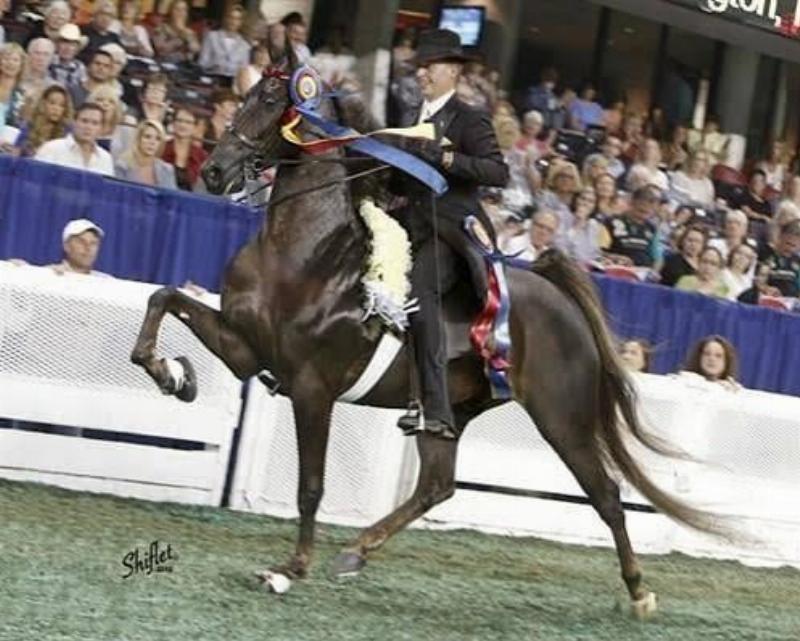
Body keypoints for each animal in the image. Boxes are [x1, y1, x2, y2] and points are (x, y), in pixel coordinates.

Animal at [130, 55, 717, 618]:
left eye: (273, 102)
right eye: (248, 93)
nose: (214, 171)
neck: (300, 254)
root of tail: (560, 298)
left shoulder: (312, 388)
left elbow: (310, 485)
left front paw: (287, 570)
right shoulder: (244, 349)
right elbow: (163, 299)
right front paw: (174, 376)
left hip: (562, 418)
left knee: (607, 496)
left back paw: (639, 593)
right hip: (451, 413)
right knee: (437, 485)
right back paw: (356, 551)